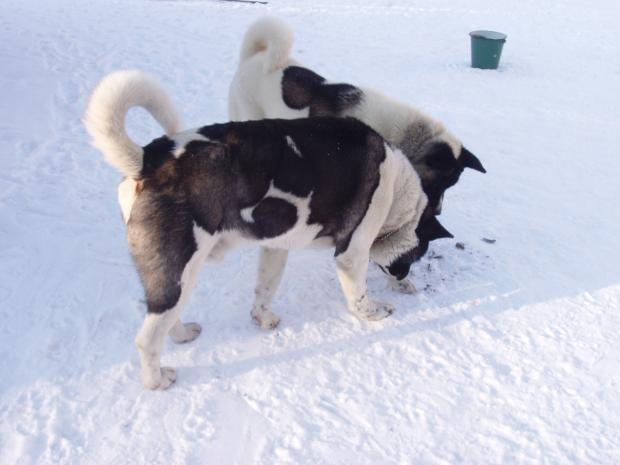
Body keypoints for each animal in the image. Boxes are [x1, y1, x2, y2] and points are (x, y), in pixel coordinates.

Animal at [83, 69, 450, 388]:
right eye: (416, 255)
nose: (406, 279)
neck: (398, 191)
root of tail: (147, 158)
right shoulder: (353, 251)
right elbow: (358, 294)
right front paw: (374, 312)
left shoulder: (276, 246)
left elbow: (265, 287)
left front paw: (263, 318)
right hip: (179, 270)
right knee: (147, 338)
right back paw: (157, 381)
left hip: (173, 277)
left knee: (165, 322)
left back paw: (184, 335)